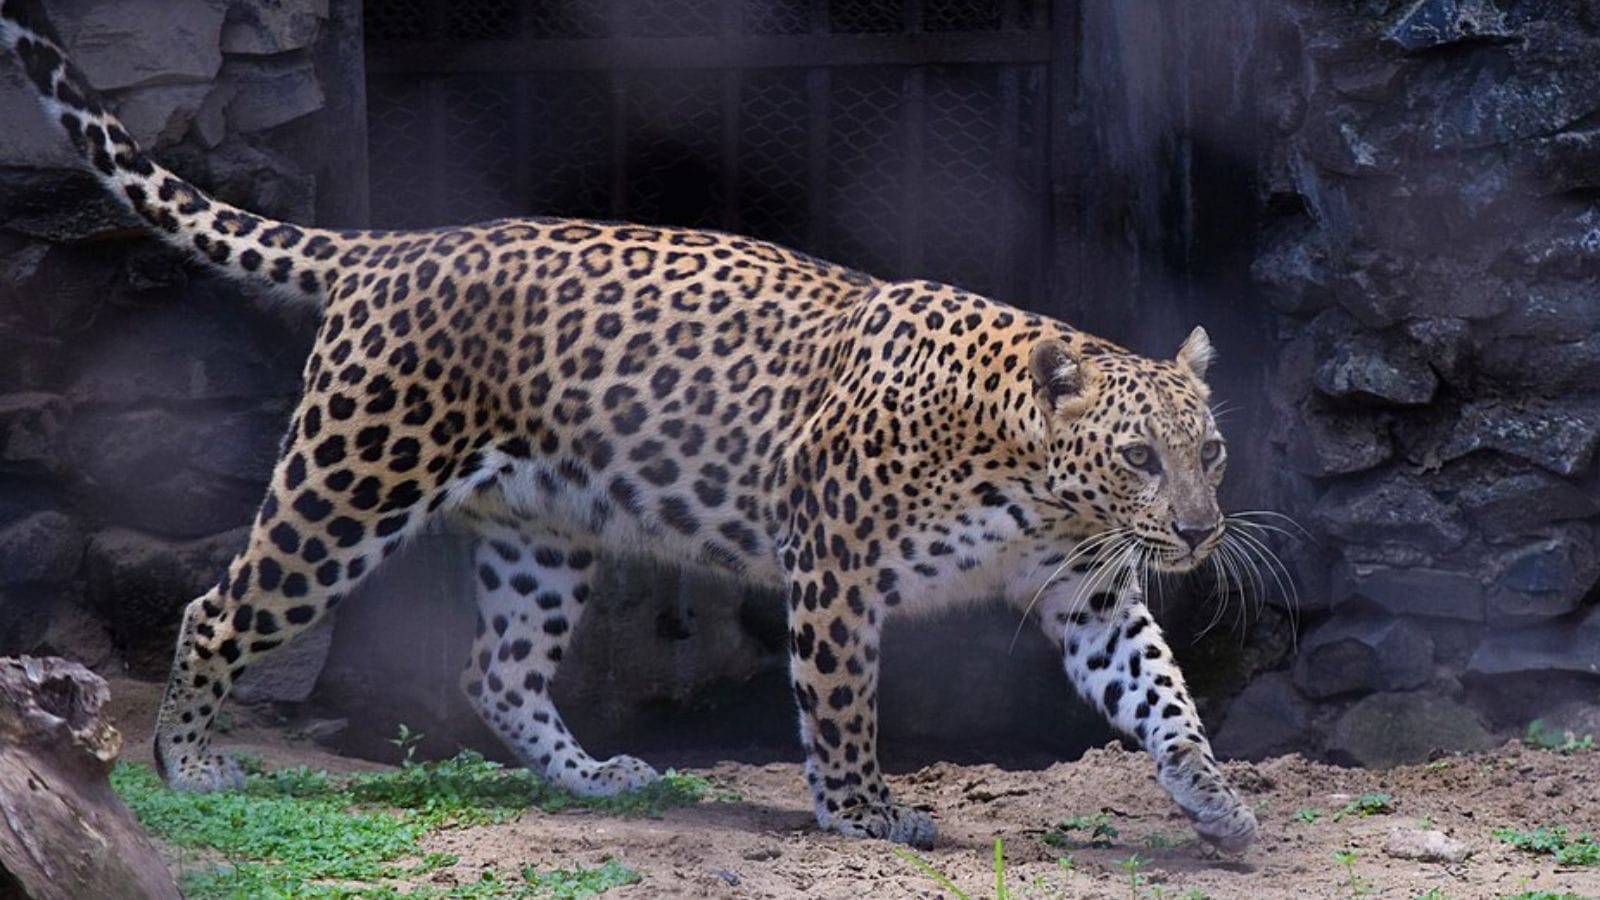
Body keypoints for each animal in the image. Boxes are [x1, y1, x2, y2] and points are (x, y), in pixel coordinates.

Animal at [2, 0, 1257, 852]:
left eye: (1208, 451)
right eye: (1138, 456)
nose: (1201, 533)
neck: (1033, 481)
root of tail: (384, 249)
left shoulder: (1087, 590)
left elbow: (1158, 691)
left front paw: (1215, 799)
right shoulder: (837, 568)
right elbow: (843, 705)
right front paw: (864, 814)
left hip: (540, 532)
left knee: (497, 669)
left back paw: (599, 780)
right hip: (350, 483)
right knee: (221, 607)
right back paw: (185, 765)